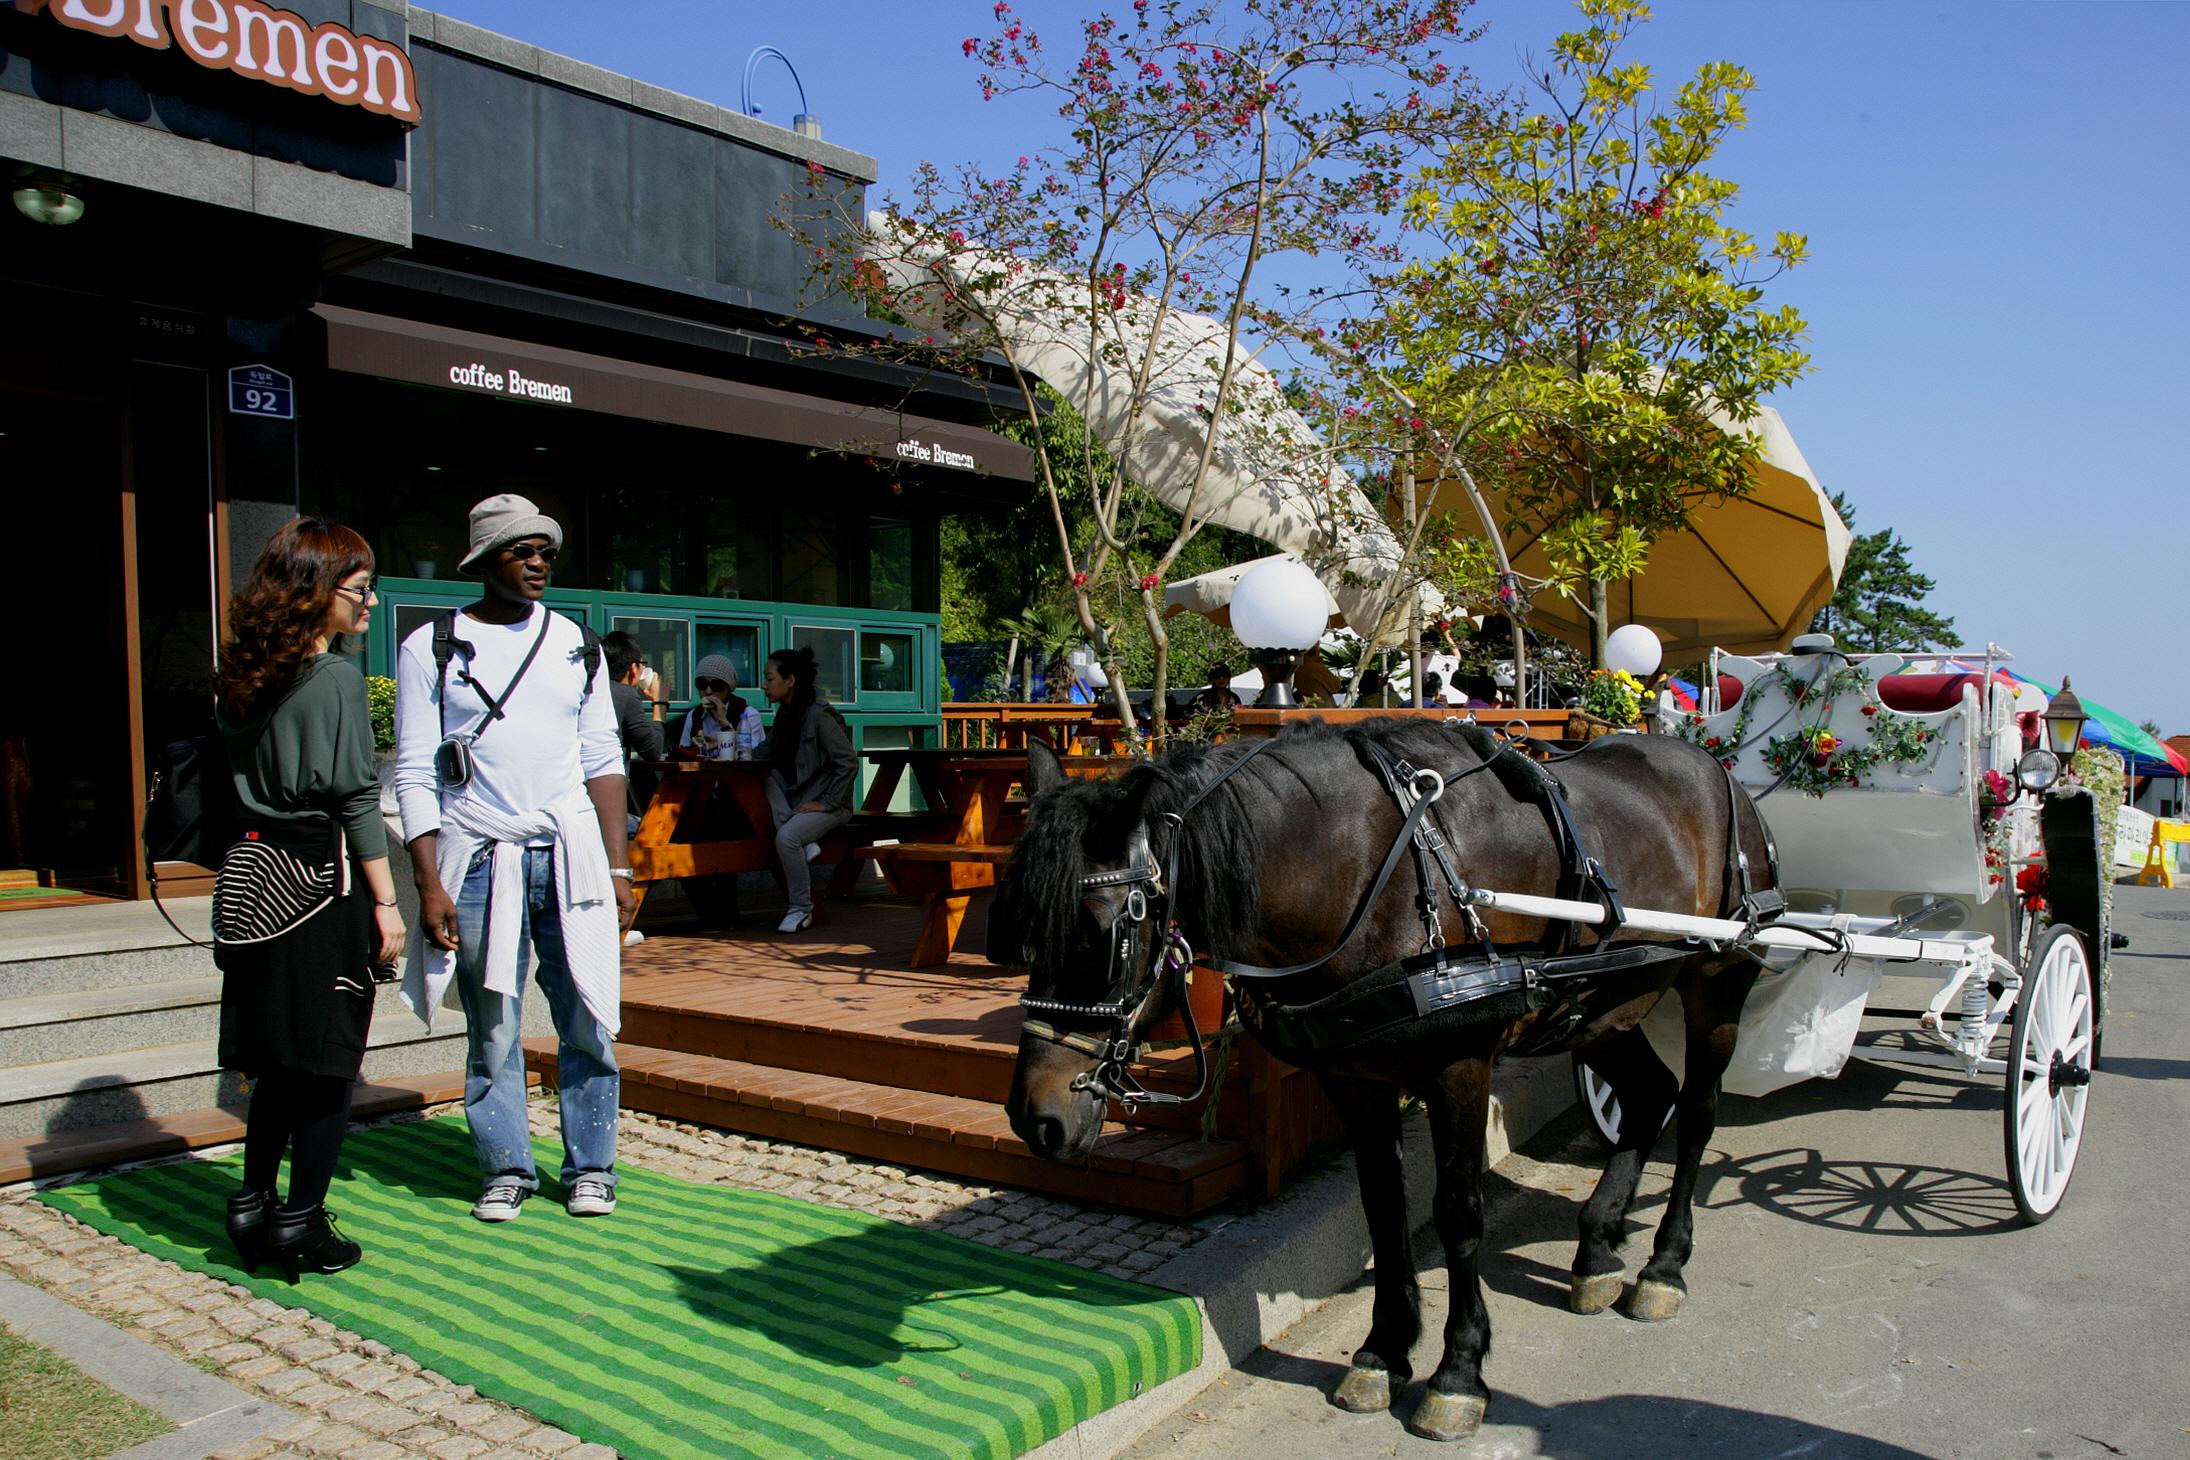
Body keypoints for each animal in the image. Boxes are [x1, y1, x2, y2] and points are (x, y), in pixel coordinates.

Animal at [998, 717, 1778, 1435]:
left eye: (1102, 934)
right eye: (1018, 928)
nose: (1037, 1118)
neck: (1372, 870)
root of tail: (1715, 765)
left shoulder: (1460, 1068)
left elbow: (1458, 1211)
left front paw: (1457, 1372)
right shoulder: (1356, 1077)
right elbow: (1382, 1206)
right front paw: (1383, 1351)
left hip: (1716, 985)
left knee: (1698, 1112)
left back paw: (1663, 1266)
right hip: (1603, 1005)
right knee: (1649, 1098)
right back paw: (1595, 1247)